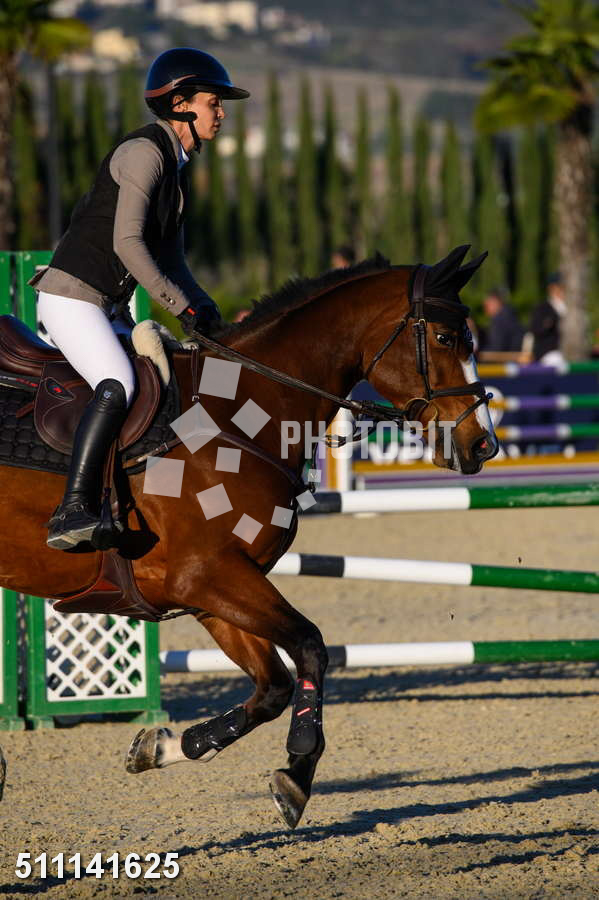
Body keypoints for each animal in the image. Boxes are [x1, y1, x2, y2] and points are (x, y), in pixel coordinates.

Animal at [0, 245, 498, 827]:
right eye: (444, 338)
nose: (483, 444)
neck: (238, 414)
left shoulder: (208, 594)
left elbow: (273, 687)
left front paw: (164, 747)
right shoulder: (209, 575)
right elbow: (311, 647)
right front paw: (299, 766)